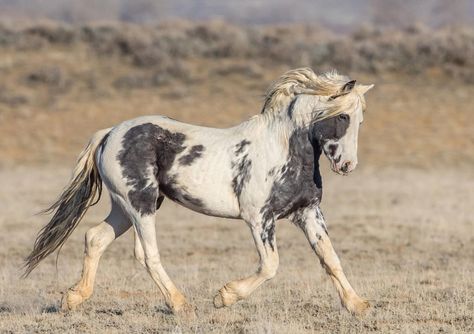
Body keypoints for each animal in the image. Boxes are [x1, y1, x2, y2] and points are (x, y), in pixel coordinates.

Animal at [24, 67, 374, 316]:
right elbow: (270, 264)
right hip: (140, 203)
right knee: (146, 254)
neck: (281, 149)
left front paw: (357, 305)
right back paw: (181, 305)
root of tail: (110, 133)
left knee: (95, 238)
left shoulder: (307, 212)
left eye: (361, 120)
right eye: (343, 116)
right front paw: (224, 297)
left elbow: (330, 258)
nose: (347, 165)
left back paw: (73, 299)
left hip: (125, 206)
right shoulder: (258, 218)